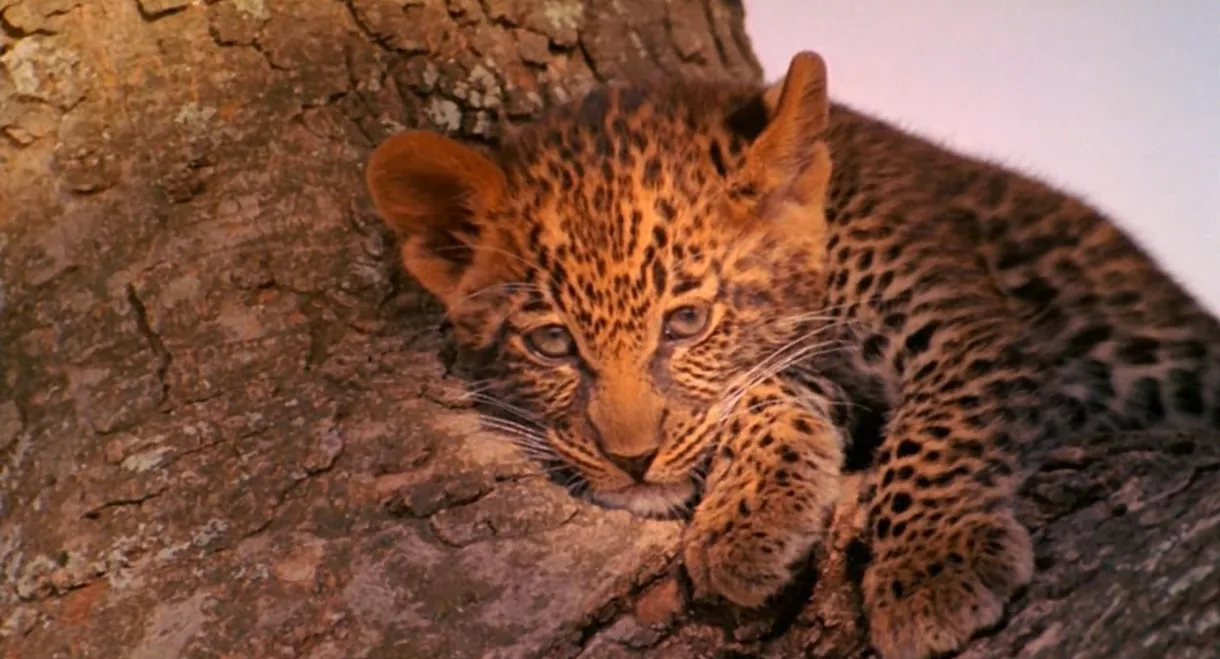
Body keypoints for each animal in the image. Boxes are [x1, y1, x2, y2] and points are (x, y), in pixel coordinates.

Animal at [364, 51, 1220, 659]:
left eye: (686, 322)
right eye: (552, 343)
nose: (631, 460)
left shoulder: (970, 331)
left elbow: (933, 435)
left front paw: (932, 569)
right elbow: (766, 393)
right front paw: (751, 521)